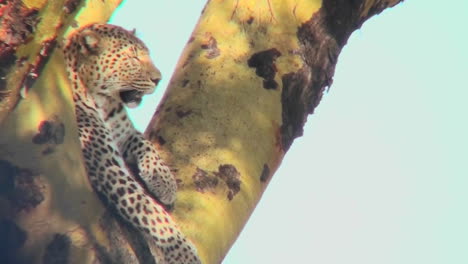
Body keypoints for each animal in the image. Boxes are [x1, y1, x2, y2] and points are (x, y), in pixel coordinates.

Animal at [61, 23, 199, 262]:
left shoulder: (125, 132)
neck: (104, 103)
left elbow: (144, 142)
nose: (158, 79)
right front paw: (181, 252)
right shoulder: (105, 166)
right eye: (133, 58)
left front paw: (163, 180)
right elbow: (149, 210)